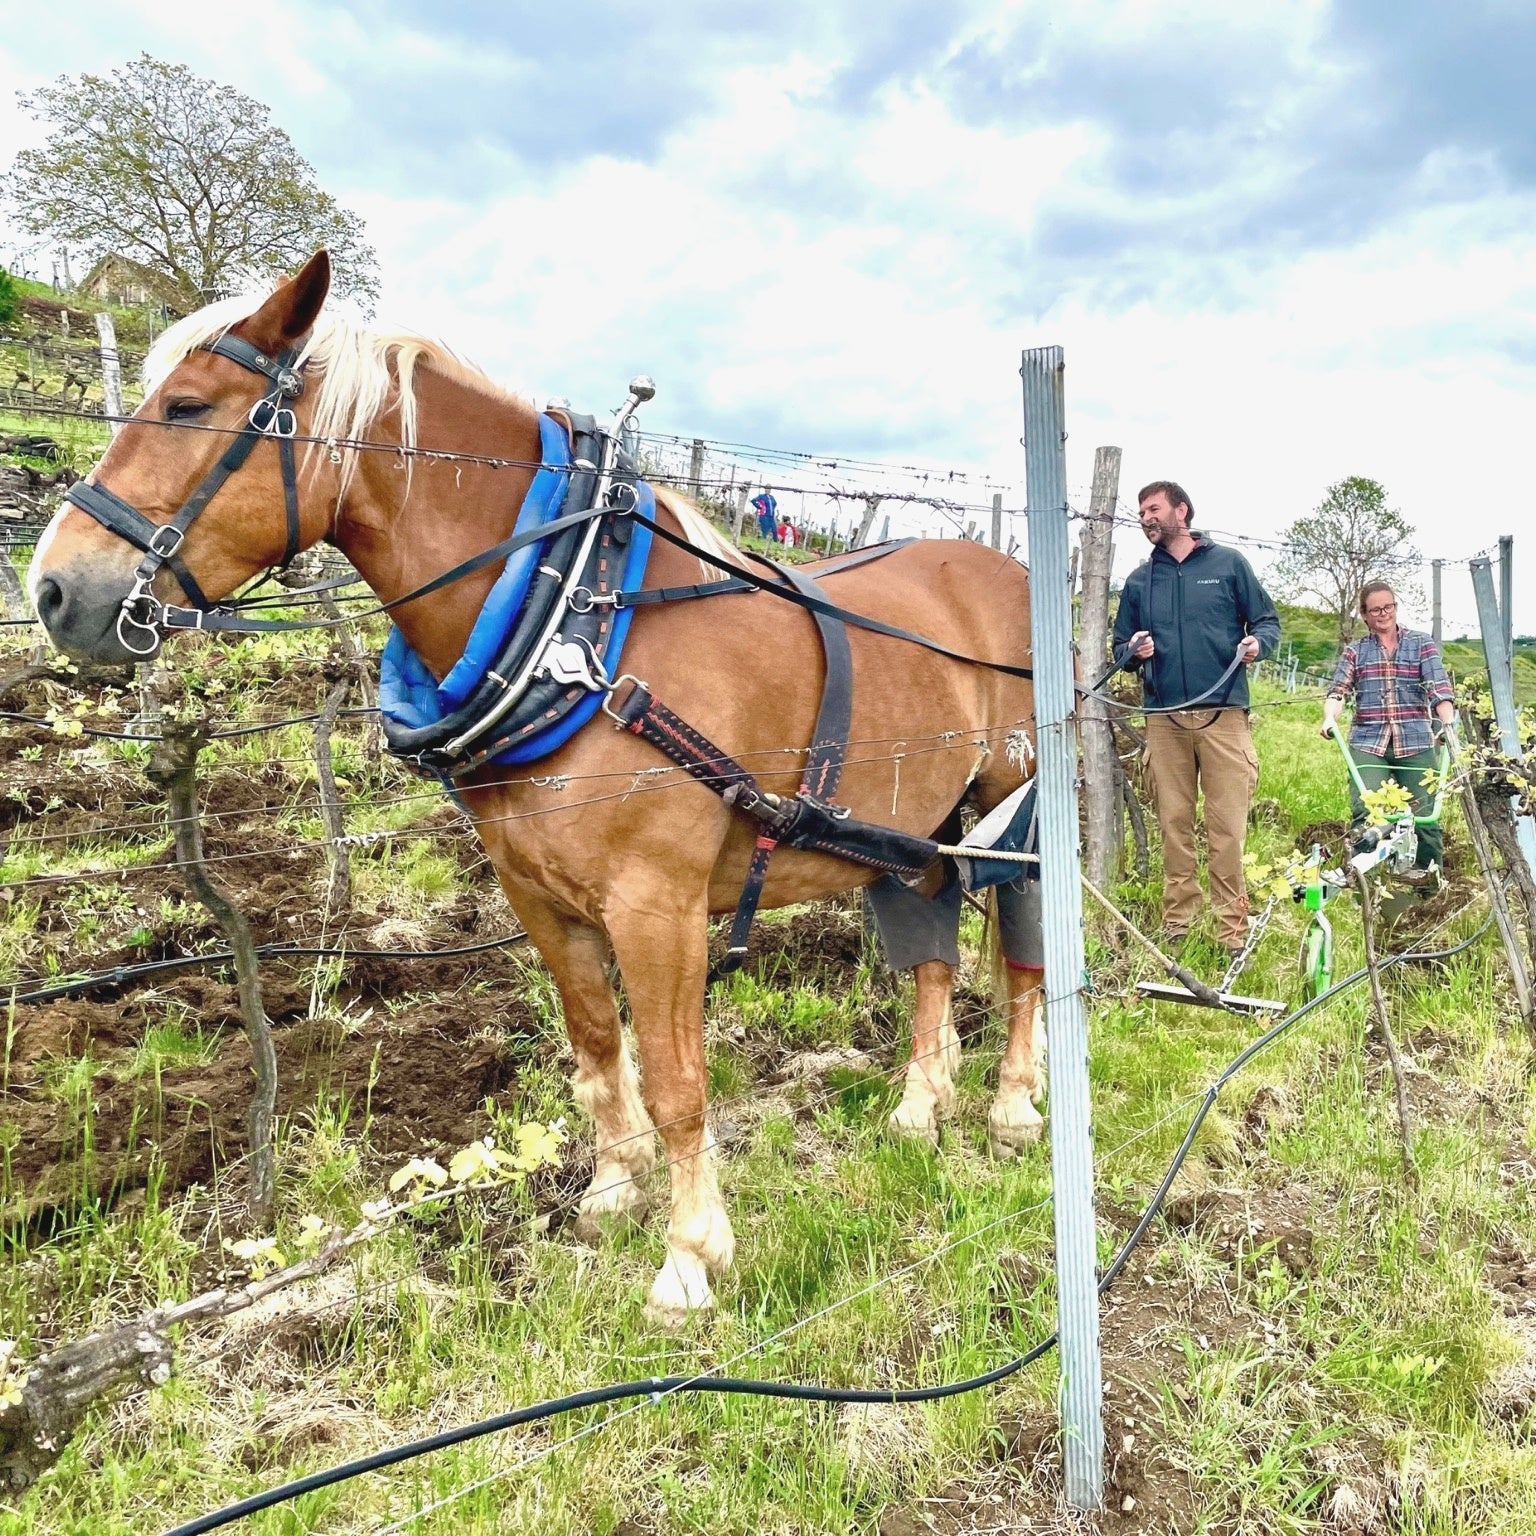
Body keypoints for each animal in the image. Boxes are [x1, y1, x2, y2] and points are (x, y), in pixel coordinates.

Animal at [28, 251, 1044, 1324]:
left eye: (187, 407)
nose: (52, 590)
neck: (581, 627)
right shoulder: (537, 895)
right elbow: (596, 1048)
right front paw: (612, 1192)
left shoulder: (657, 904)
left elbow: (677, 1081)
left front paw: (690, 1257)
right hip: (916, 827)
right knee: (932, 954)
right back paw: (920, 1106)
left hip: (1013, 802)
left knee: (1024, 956)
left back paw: (1016, 1104)